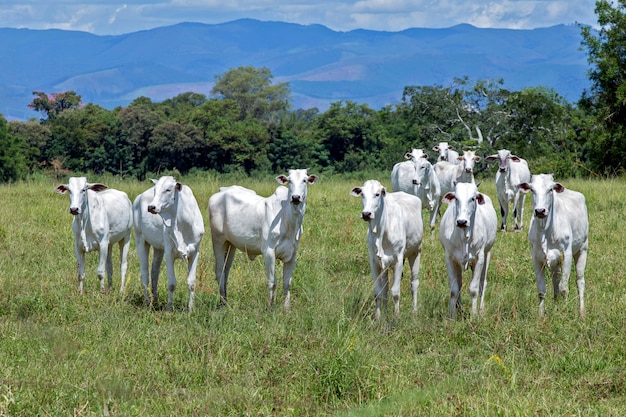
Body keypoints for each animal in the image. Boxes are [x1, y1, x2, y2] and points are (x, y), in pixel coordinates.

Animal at [133, 176, 204, 312]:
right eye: (155, 189)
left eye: (168, 189)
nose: (151, 207)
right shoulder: (169, 252)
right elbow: (171, 283)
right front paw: (170, 308)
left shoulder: (195, 251)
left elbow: (191, 283)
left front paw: (190, 309)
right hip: (140, 240)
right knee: (145, 273)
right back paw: (147, 301)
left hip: (158, 248)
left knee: (154, 271)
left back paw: (155, 300)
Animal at [208, 167, 316, 308]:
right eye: (289, 181)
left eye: (304, 180)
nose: (296, 197)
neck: (288, 220)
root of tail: (222, 191)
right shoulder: (268, 252)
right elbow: (272, 282)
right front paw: (271, 307)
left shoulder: (292, 254)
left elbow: (287, 283)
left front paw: (287, 308)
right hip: (218, 240)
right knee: (220, 271)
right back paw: (222, 303)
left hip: (231, 244)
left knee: (226, 271)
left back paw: (225, 301)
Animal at [348, 178, 422, 318]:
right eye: (362, 194)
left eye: (377, 194)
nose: (366, 214)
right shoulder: (374, 262)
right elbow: (379, 292)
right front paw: (378, 317)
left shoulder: (398, 260)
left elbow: (395, 292)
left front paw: (396, 317)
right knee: (385, 289)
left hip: (416, 252)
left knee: (414, 283)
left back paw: (415, 311)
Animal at [436, 180, 494, 316]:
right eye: (456, 198)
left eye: (473, 198)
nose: (461, 221)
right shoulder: (450, 258)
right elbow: (454, 289)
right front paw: (452, 315)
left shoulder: (479, 258)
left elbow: (474, 289)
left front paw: (474, 314)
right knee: (460, 283)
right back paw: (460, 307)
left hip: (488, 253)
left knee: (483, 283)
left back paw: (481, 309)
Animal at [516, 173, 584, 316]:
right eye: (532, 189)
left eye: (550, 189)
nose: (540, 211)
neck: (545, 230)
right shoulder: (536, 259)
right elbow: (542, 290)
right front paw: (541, 315)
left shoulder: (567, 255)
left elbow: (564, 288)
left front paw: (564, 313)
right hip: (555, 263)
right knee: (555, 282)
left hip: (582, 249)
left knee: (579, 281)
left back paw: (582, 312)